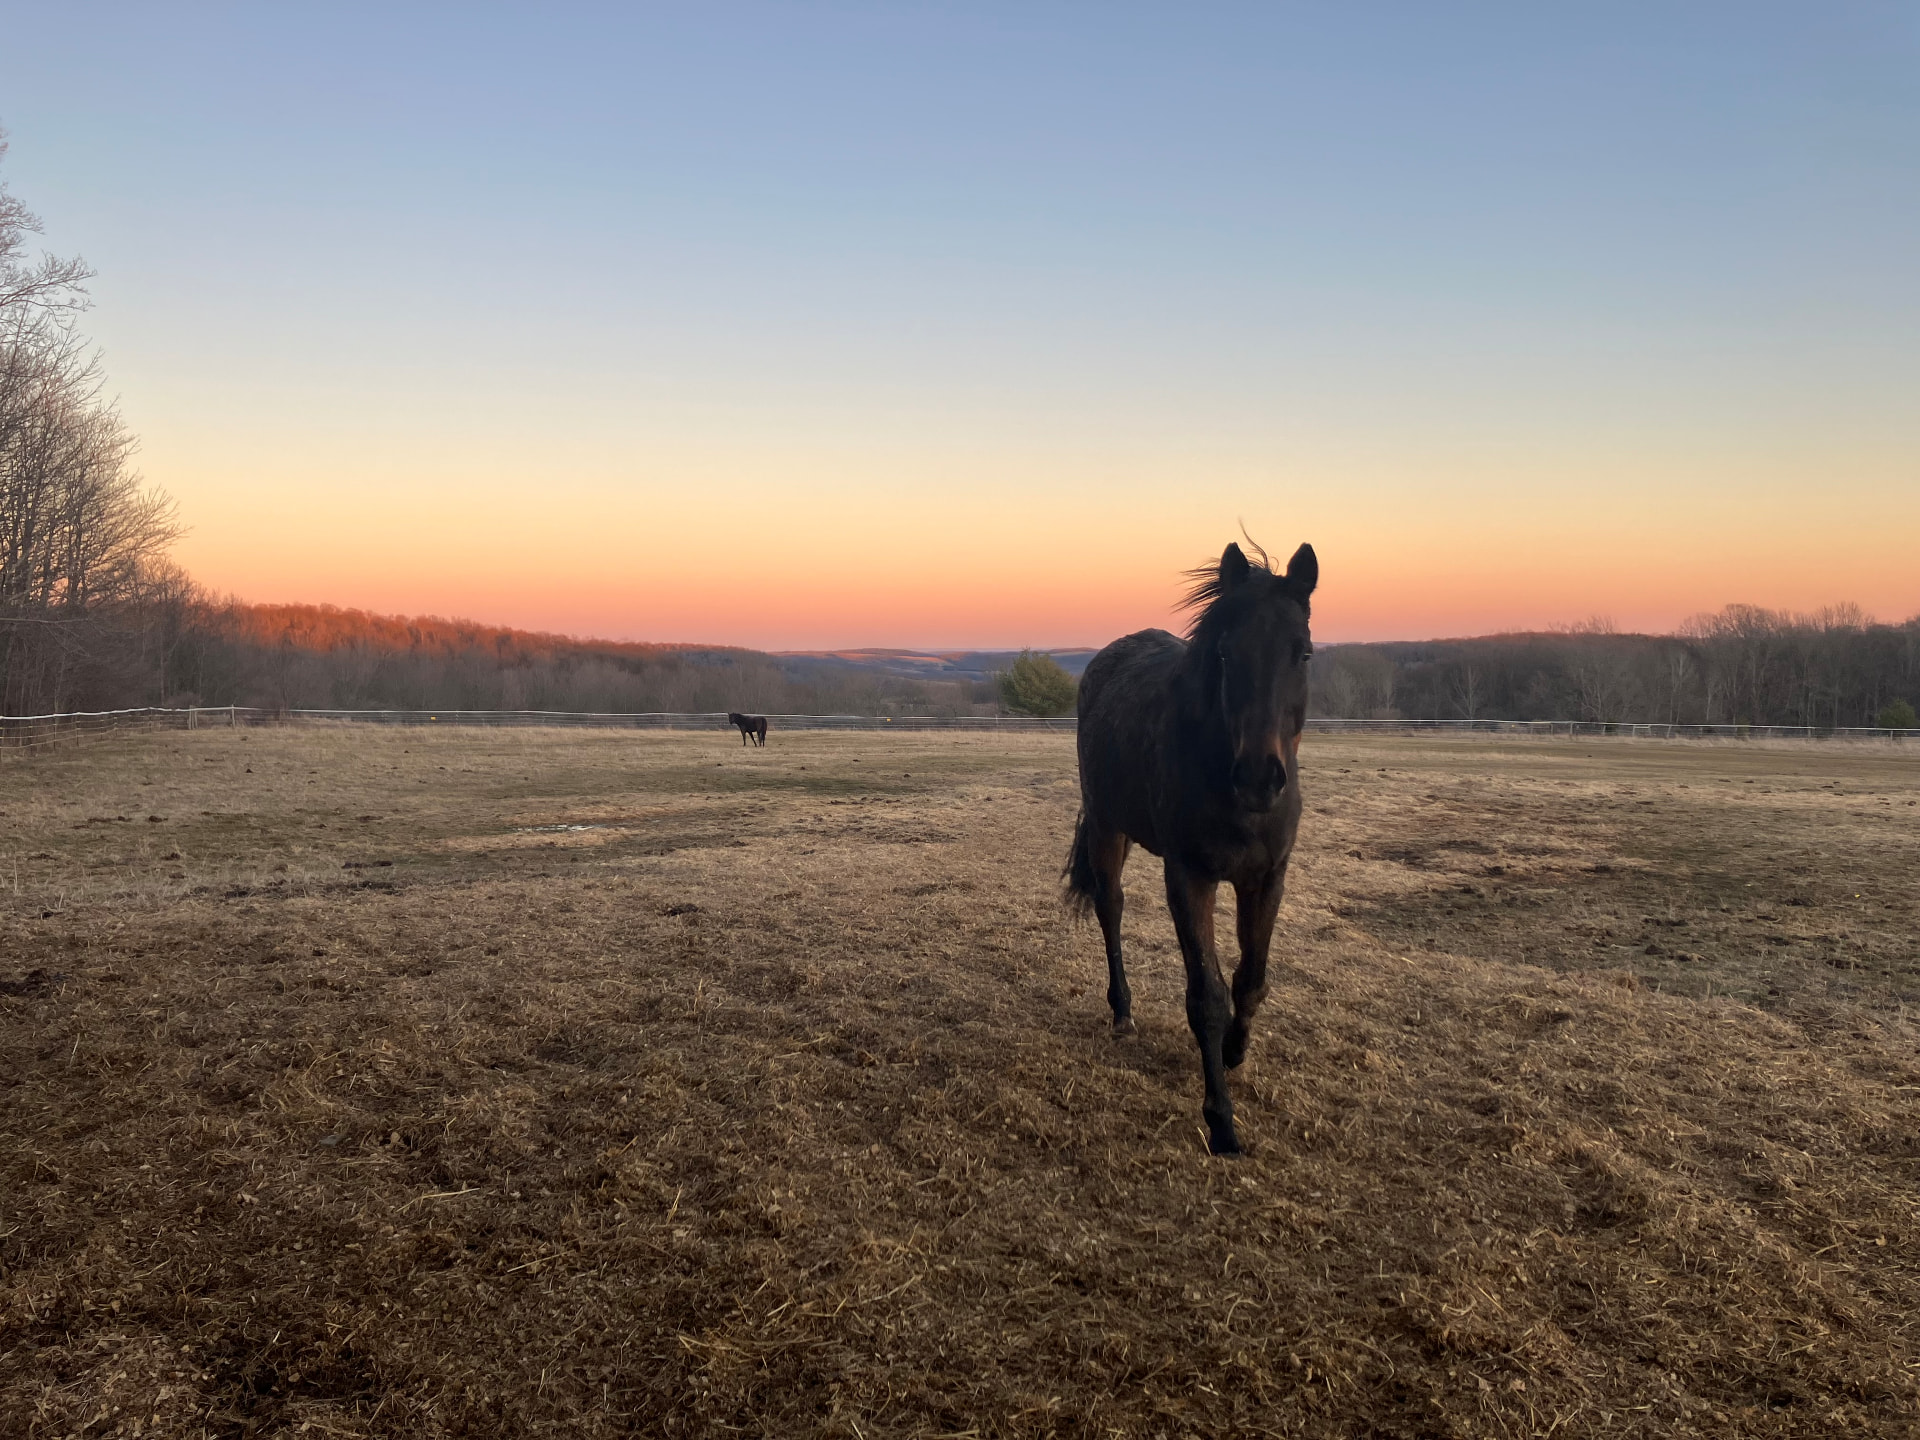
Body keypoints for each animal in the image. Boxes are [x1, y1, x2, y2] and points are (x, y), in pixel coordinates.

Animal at [1064, 540, 1317, 1156]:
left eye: (1302, 653)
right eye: (1225, 653)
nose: (1259, 778)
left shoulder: (1266, 877)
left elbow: (1251, 979)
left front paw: (1234, 1053)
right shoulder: (1189, 876)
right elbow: (1206, 996)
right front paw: (1221, 1120)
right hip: (1106, 825)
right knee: (1111, 908)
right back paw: (1123, 1013)